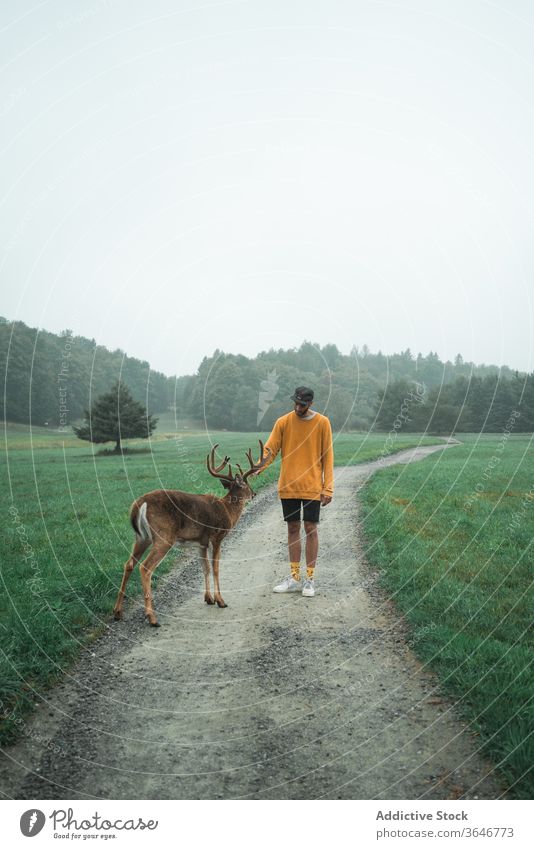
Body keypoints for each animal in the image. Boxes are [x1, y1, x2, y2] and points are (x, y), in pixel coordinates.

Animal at [113, 440, 272, 628]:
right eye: (246, 485)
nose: (254, 494)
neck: (228, 510)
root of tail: (139, 504)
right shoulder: (217, 537)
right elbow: (216, 567)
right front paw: (221, 601)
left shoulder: (201, 542)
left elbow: (205, 568)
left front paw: (208, 598)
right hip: (164, 536)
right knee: (145, 567)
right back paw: (152, 618)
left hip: (141, 537)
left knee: (129, 564)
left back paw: (117, 612)